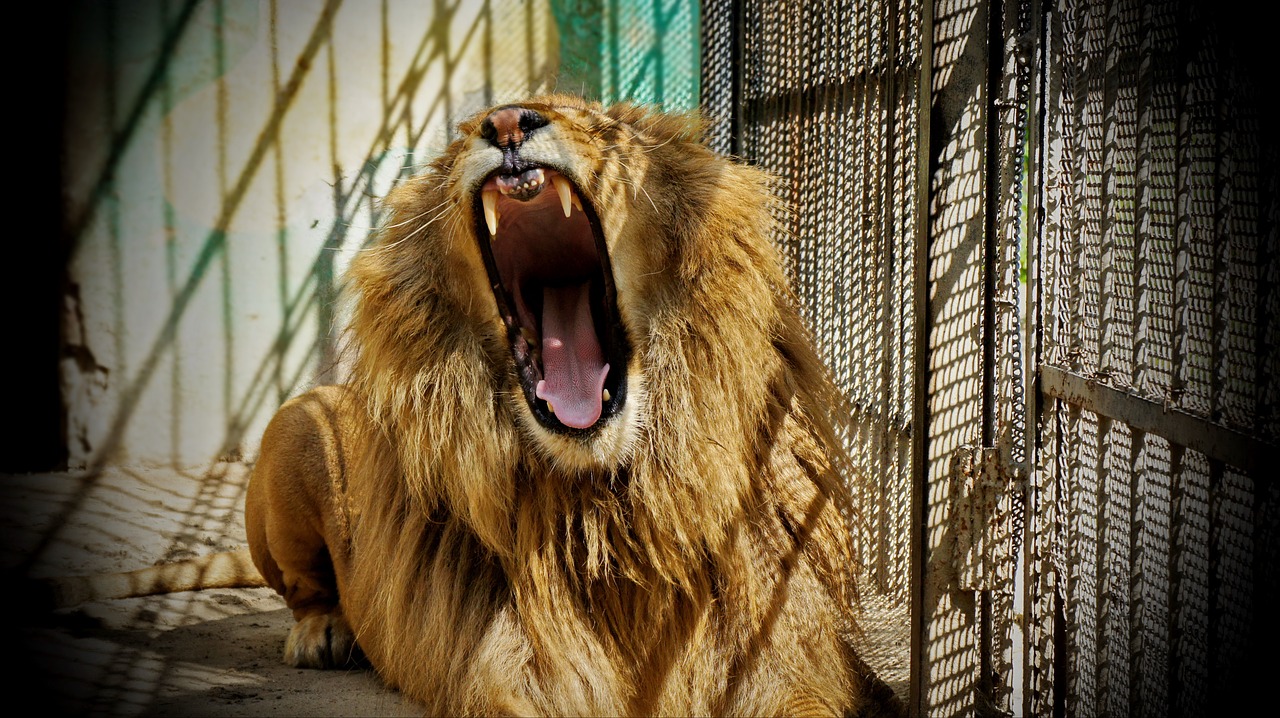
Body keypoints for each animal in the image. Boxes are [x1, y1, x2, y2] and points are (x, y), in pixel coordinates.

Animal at [42, 96, 901, 716]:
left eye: (601, 123)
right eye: (462, 137)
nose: (510, 122)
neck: (609, 505)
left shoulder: (779, 660)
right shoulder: (514, 673)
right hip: (298, 420)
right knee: (300, 585)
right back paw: (324, 632)